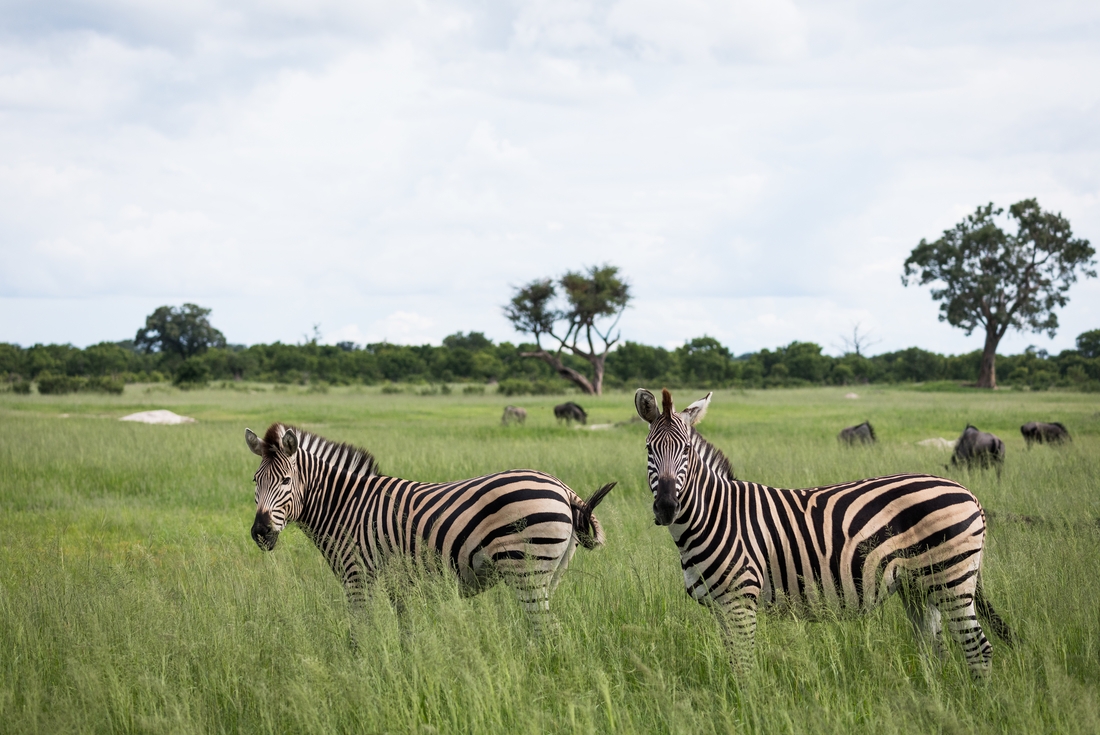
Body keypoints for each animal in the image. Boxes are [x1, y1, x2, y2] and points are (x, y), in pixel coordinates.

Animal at [245, 423, 614, 631]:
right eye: (254, 481)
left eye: (286, 481)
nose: (260, 533)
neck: (345, 506)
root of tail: (563, 487)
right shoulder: (398, 583)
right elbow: (407, 632)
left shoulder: (357, 576)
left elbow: (359, 634)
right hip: (550, 572)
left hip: (527, 569)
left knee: (546, 629)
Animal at [635, 388, 1012, 679]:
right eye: (649, 450)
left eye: (686, 451)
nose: (666, 507)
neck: (714, 516)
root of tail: (969, 493)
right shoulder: (720, 606)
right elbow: (733, 662)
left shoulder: (741, 599)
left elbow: (744, 666)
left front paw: (748, 706)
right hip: (919, 585)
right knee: (935, 647)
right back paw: (936, 699)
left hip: (952, 577)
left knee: (978, 648)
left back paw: (977, 703)